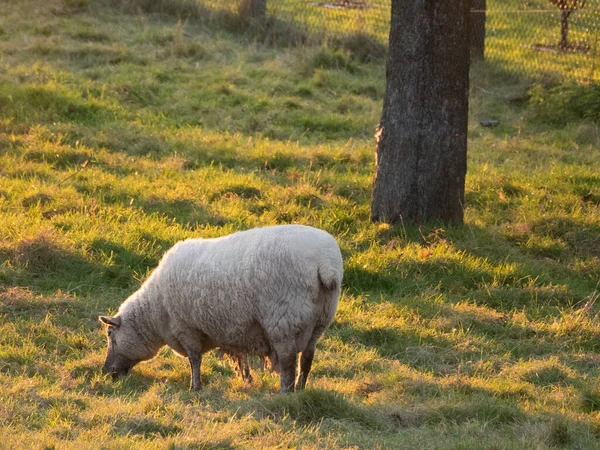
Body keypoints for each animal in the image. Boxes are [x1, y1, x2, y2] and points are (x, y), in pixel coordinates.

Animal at [98, 223, 342, 392]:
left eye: (110, 334)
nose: (107, 372)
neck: (156, 312)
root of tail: (326, 263)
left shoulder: (186, 328)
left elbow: (194, 360)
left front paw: (195, 387)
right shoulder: (237, 331)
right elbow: (241, 357)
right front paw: (246, 379)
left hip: (284, 320)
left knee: (289, 361)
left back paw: (286, 391)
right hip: (319, 321)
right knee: (307, 358)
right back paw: (300, 389)